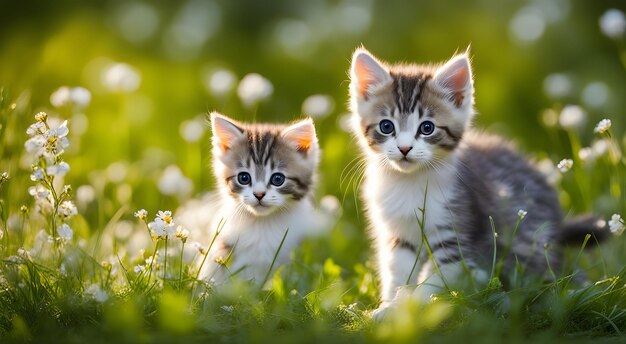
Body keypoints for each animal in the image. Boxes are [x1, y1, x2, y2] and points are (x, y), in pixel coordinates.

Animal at [346, 47, 604, 318]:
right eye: (387, 126)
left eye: (427, 128)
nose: (405, 149)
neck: (410, 184)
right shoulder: (398, 236)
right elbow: (398, 274)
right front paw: (389, 306)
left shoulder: (457, 235)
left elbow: (433, 281)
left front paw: (411, 308)